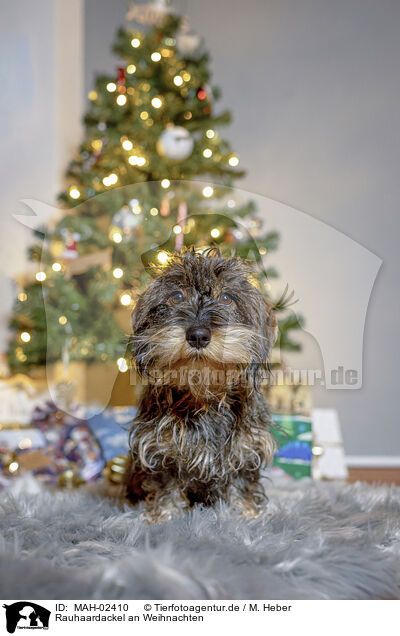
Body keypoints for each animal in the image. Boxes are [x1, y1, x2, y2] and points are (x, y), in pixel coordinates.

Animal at [126, 248, 278, 520]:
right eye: (176, 296)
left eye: (226, 298)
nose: (198, 335)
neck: (203, 394)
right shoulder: (160, 449)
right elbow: (167, 488)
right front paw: (163, 517)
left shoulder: (246, 448)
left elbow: (241, 485)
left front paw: (247, 516)